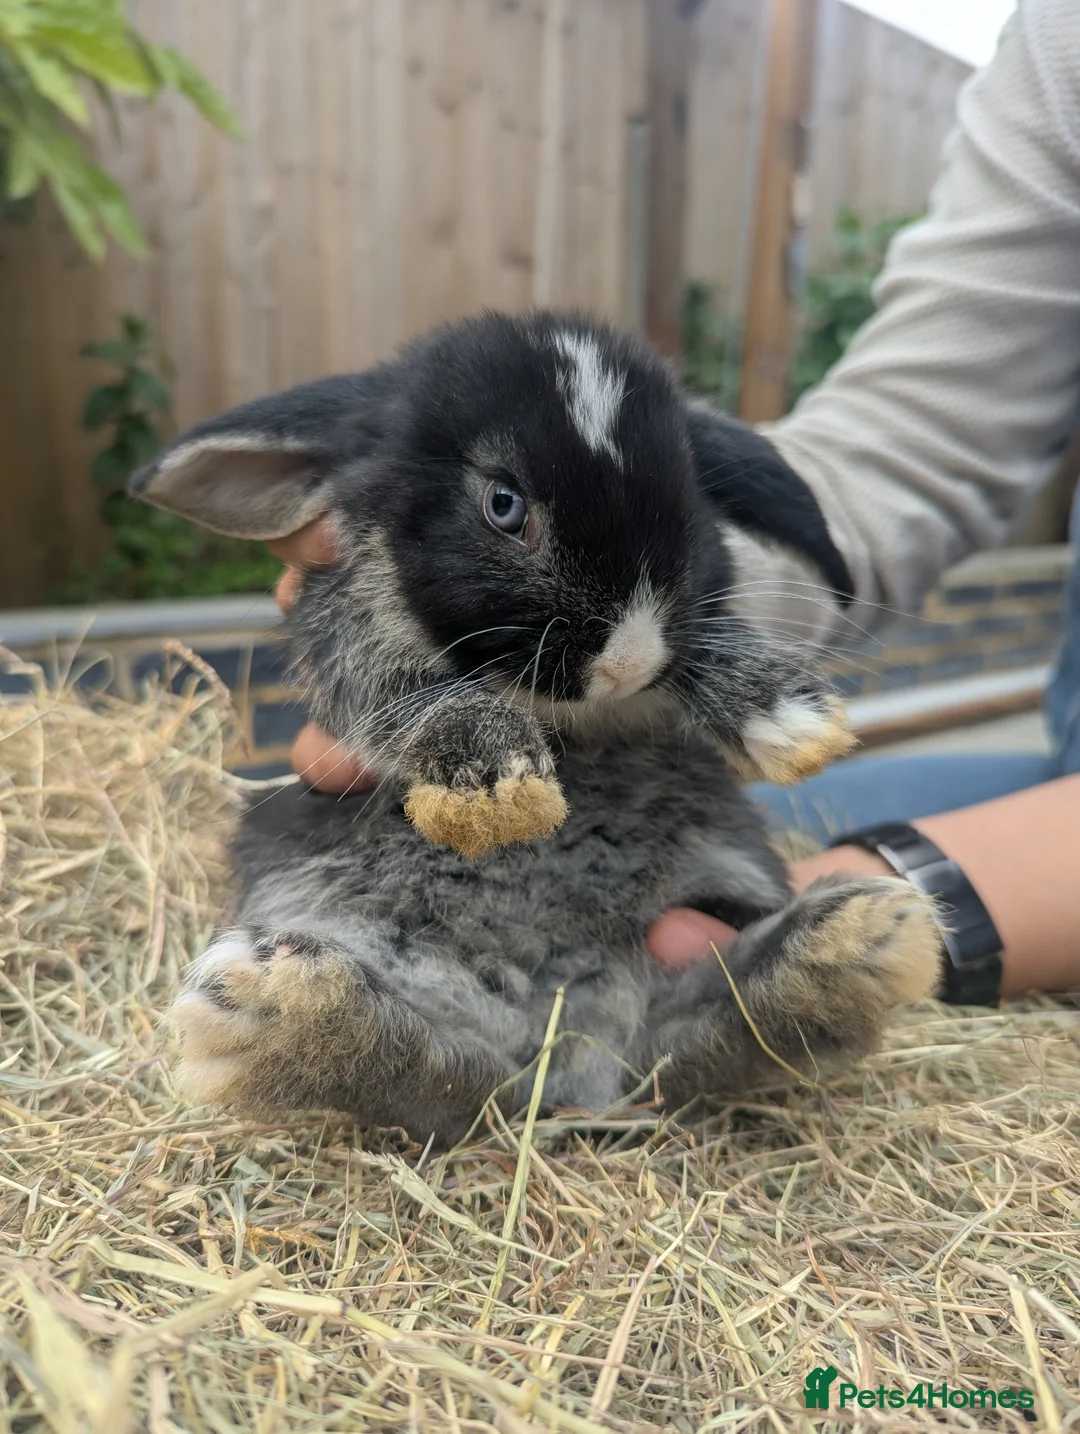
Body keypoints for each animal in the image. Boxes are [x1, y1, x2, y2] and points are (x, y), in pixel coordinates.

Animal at [131, 310, 942, 1145]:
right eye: (503, 504)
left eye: (691, 494)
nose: (629, 657)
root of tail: (565, 1051)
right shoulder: (356, 641)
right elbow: (412, 697)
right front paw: (494, 793)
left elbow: (711, 645)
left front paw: (794, 721)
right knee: (436, 1080)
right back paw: (274, 1006)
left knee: (685, 1048)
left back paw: (855, 943)